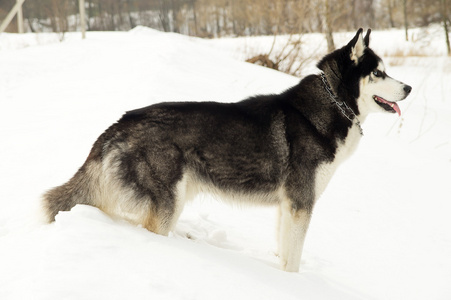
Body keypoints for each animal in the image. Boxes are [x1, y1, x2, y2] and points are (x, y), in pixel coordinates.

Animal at [43, 28, 414, 272]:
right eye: (379, 72)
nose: (409, 87)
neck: (332, 103)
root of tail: (118, 123)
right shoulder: (301, 204)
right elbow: (293, 261)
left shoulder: (287, 207)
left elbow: (284, 253)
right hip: (166, 204)